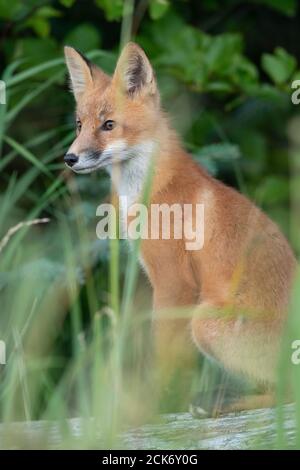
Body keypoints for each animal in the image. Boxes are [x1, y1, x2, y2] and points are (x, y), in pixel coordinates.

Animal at [64, 41, 296, 414]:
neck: (151, 190)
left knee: (287, 392)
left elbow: (164, 358)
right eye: (79, 124)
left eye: (109, 125)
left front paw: (154, 408)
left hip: (202, 321)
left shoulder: (174, 282)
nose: (70, 159)